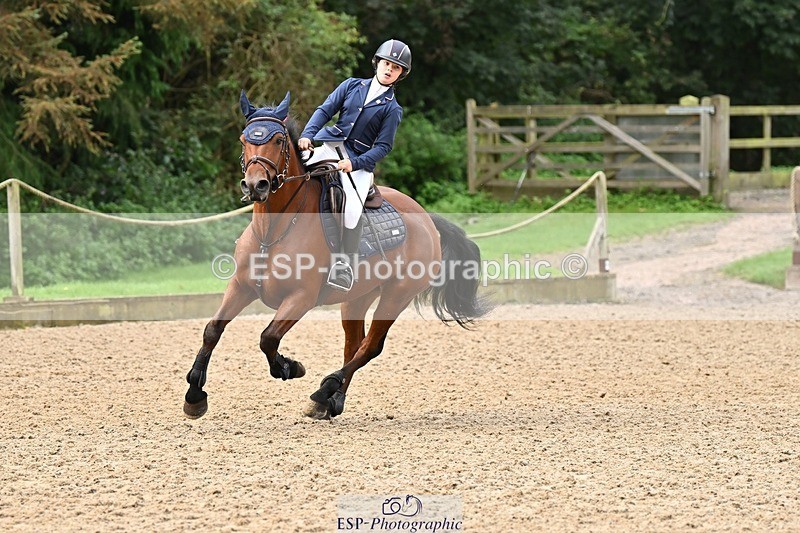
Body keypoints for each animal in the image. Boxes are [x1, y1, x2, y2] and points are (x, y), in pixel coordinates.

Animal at [183, 90, 489, 419]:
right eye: (243, 139)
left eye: (278, 140)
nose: (256, 185)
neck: (273, 232)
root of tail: (426, 219)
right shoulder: (241, 287)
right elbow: (212, 330)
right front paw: (194, 395)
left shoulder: (301, 298)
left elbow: (268, 337)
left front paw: (290, 367)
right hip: (358, 296)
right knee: (354, 343)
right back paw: (330, 400)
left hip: (397, 295)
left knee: (370, 347)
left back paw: (324, 389)